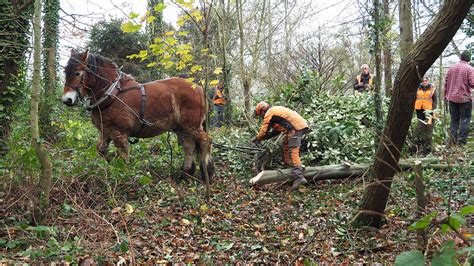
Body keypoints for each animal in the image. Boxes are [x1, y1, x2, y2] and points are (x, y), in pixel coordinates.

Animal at [62, 48, 214, 180]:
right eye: (65, 71)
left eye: (77, 73)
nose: (66, 100)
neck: (113, 94)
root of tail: (199, 88)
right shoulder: (105, 131)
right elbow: (100, 150)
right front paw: (111, 161)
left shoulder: (119, 133)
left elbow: (123, 156)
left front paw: (122, 175)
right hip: (182, 128)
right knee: (188, 146)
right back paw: (186, 174)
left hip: (191, 126)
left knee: (206, 140)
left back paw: (207, 172)